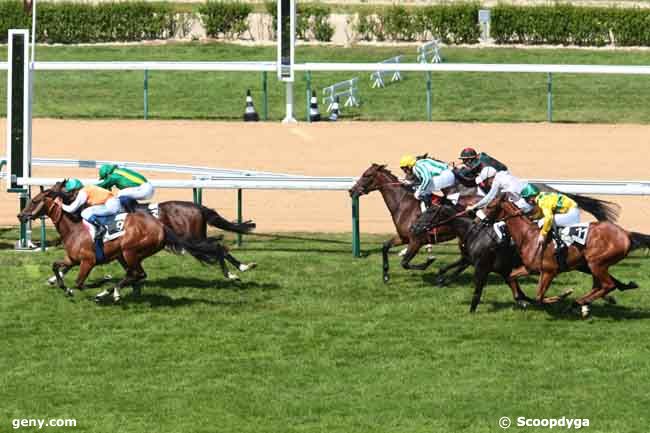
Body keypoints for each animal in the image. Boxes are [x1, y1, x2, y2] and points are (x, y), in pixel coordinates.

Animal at [19, 181, 238, 302]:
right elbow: (57, 266)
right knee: (136, 274)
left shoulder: (89, 261)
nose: (20, 215)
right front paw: (60, 284)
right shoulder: (73, 259)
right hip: (133, 253)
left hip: (131, 251)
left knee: (138, 273)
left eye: (35, 200)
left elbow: (81, 283)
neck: (75, 227)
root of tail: (160, 227)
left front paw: (99, 284)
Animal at [346, 164, 478, 282]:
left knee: (466, 260)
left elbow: (404, 263)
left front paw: (428, 262)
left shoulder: (416, 241)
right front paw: (385, 275)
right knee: (466, 260)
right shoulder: (404, 237)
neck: (403, 204)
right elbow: (385, 246)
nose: (351, 191)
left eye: (367, 175)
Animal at [484, 192, 644, 318]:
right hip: (593, 264)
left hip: (596, 263)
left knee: (607, 285)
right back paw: (583, 304)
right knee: (600, 286)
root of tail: (626, 234)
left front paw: (564, 295)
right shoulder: (530, 269)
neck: (528, 236)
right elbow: (511, 276)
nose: (482, 220)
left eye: (490, 206)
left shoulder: (549, 271)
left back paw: (578, 302)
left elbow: (539, 297)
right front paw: (522, 299)